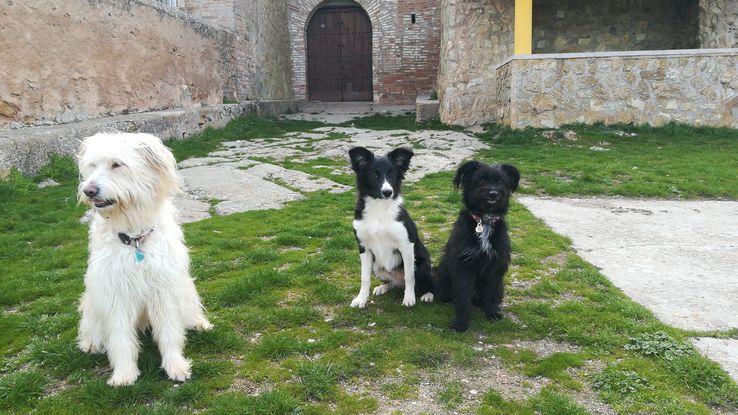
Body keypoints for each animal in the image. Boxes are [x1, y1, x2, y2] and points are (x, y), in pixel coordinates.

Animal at [75, 132, 210, 386]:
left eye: (116, 164)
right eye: (92, 166)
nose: (89, 190)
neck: (134, 240)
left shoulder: (164, 290)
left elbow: (169, 331)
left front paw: (175, 365)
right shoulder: (115, 294)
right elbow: (120, 338)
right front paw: (124, 374)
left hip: (185, 288)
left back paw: (199, 322)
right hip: (92, 303)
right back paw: (90, 344)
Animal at [432, 161, 516, 334]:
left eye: (500, 182)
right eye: (482, 180)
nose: (493, 194)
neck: (484, 222)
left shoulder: (494, 268)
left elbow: (488, 294)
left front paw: (491, 313)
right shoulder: (464, 267)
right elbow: (463, 297)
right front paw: (461, 323)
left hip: (500, 288)